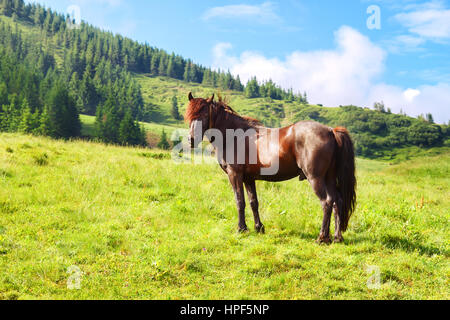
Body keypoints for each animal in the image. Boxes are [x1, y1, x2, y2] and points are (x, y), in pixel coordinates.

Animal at [185, 94, 356, 244]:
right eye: (189, 116)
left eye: (204, 115)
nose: (191, 140)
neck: (235, 136)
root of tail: (331, 131)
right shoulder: (249, 178)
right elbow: (253, 202)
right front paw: (258, 228)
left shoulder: (235, 175)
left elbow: (240, 201)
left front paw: (242, 229)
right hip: (329, 178)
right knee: (337, 201)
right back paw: (337, 237)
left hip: (315, 178)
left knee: (326, 202)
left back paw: (322, 238)